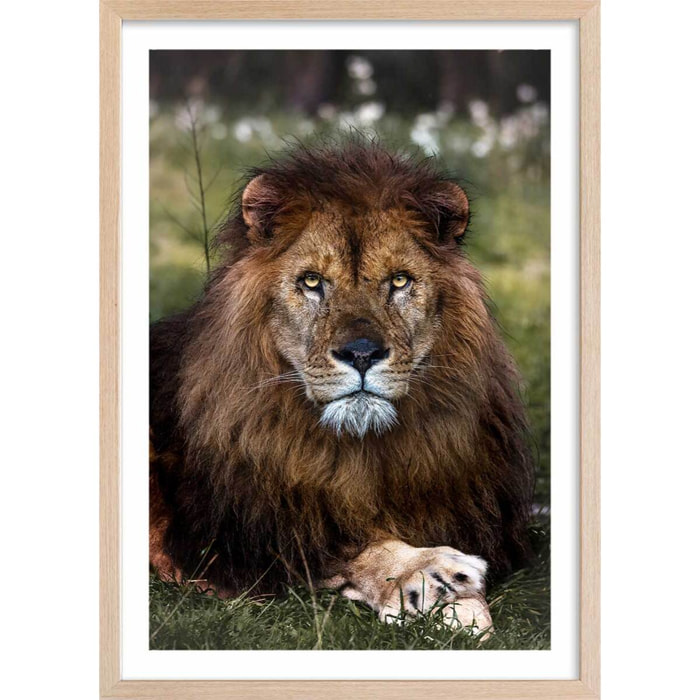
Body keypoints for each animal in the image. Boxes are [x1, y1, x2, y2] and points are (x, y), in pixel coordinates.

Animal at [149, 140, 534, 634]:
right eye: (313, 281)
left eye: (399, 280)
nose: (362, 354)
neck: (359, 450)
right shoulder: (223, 540)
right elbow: (348, 548)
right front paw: (432, 578)